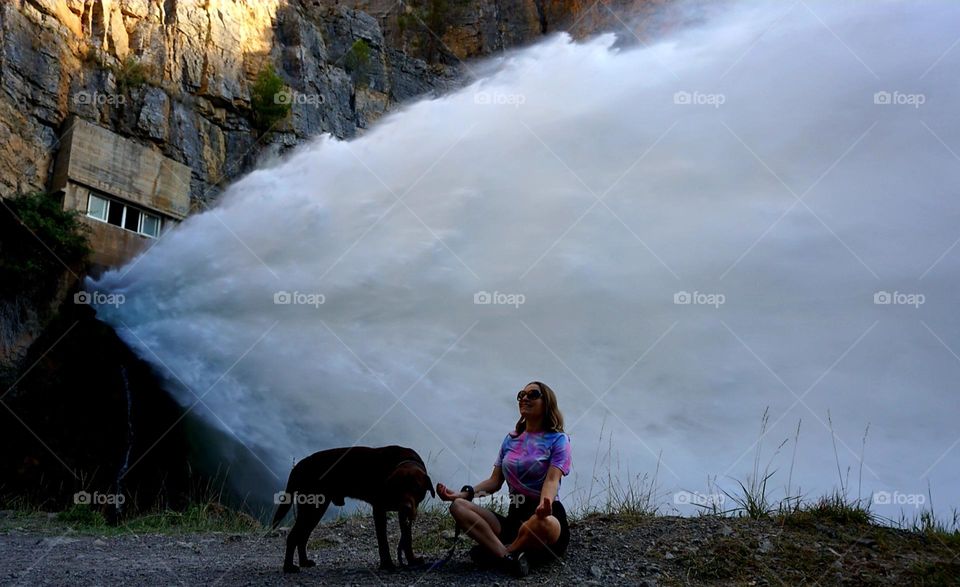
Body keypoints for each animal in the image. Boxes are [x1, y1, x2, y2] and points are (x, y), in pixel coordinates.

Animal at [270, 446, 436, 576]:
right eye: (397, 488)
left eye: (416, 488)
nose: (405, 507)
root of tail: (301, 464)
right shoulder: (379, 510)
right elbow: (383, 541)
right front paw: (387, 564)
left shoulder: (404, 516)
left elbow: (407, 539)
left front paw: (412, 560)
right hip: (313, 508)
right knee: (294, 536)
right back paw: (289, 567)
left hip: (314, 509)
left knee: (302, 536)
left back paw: (304, 562)